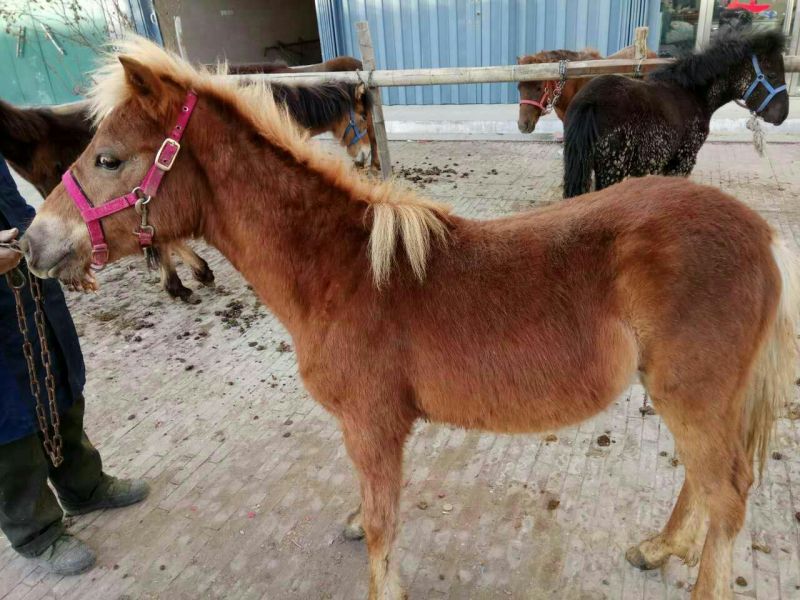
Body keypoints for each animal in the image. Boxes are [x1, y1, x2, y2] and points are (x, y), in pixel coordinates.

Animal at [563, 29, 789, 198]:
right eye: (772, 74)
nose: (782, 115)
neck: (693, 93)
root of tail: (590, 102)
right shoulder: (684, 161)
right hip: (612, 170)